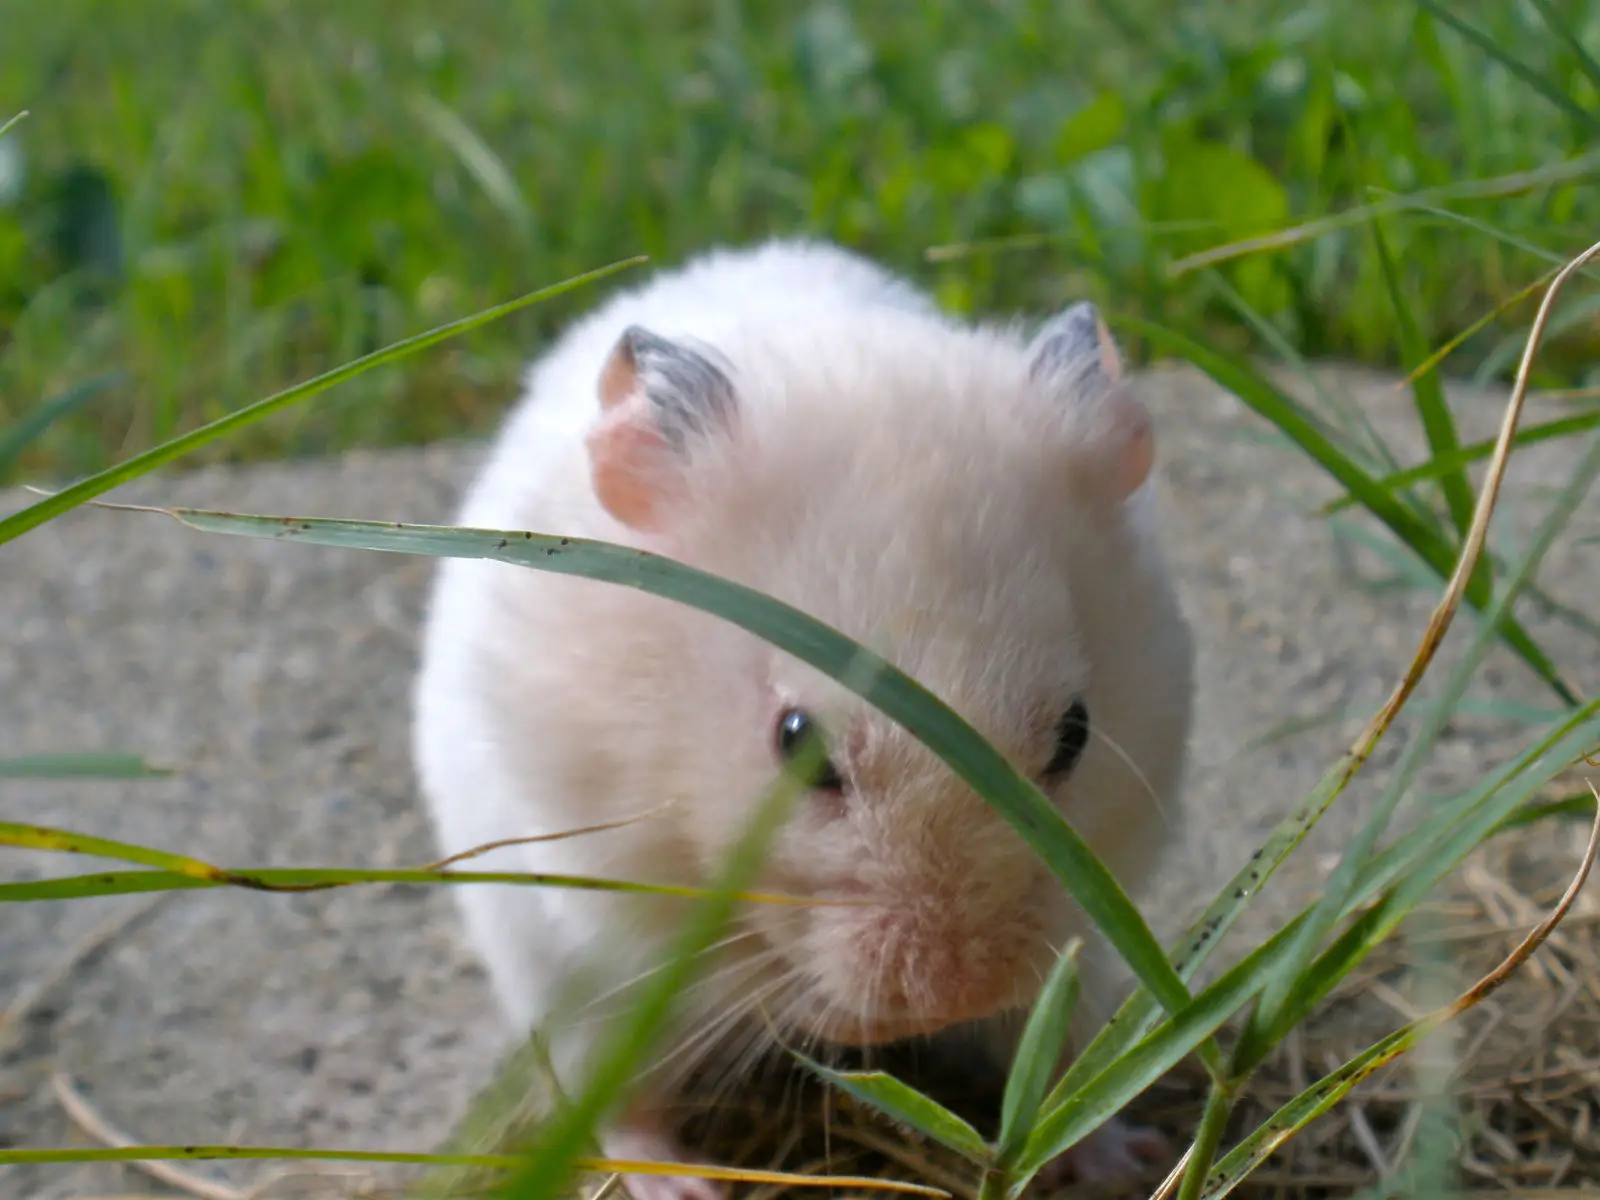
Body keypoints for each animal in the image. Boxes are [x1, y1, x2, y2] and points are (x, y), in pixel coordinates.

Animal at [411, 239, 1194, 1200]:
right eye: (797, 744)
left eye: (1077, 733)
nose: (952, 996)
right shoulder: (605, 882)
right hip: (572, 986)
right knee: (619, 1099)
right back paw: (682, 1184)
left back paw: (1124, 1158)